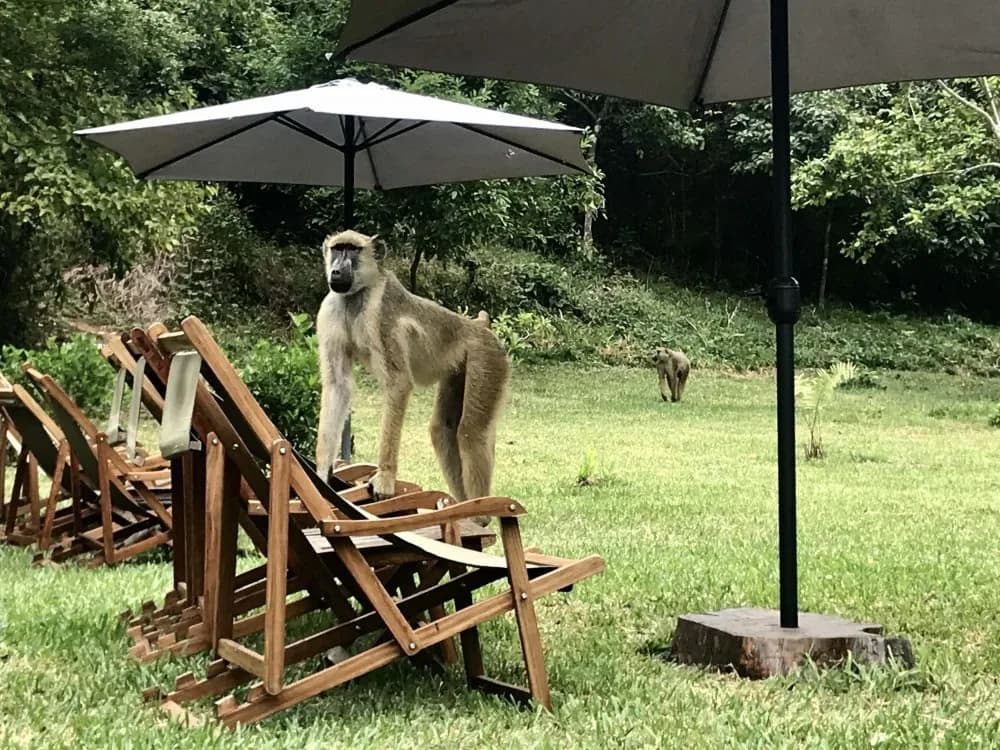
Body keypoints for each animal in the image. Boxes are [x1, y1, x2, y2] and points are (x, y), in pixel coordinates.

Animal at [315, 230, 510, 521]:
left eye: (352, 250)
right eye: (337, 249)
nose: (337, 270)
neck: (357, 296)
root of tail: (477, 327)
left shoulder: (381, 315)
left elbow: (399, 383)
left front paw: (385, 478)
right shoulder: (331, 310)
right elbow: (338, 385)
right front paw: (321, 476)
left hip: (486, 358)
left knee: (471, 432)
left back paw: (480, 516)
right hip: (459, 370)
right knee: (443, 430)